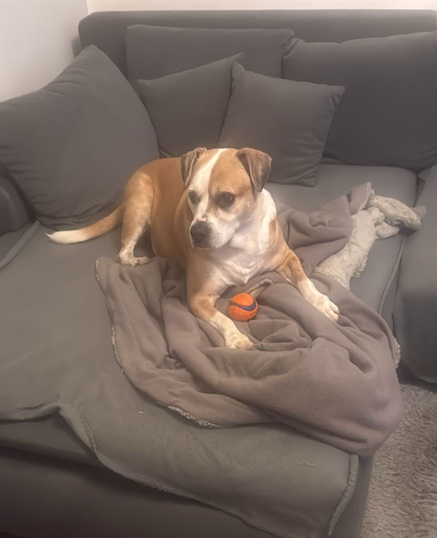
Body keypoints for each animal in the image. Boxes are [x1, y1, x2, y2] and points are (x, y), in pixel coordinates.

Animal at [48, 147, 339, 349]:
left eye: (227, 198)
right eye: (192, 195)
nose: (196, 233)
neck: (239, 240)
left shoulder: (286, 257)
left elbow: (304, 281)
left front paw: (322, 303)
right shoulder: (198, 297)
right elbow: (222, 318)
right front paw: (235, 337)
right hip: (140, 203)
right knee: (123, 252)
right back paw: (136, 260)